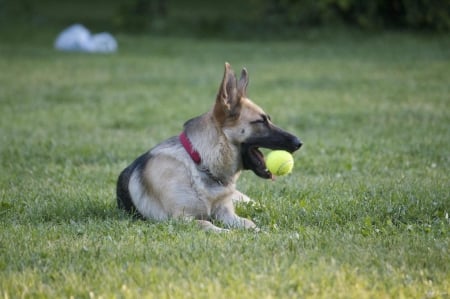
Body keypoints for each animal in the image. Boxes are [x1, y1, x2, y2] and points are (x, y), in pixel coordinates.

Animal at [116, 62, 300, 232]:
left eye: (267, 119)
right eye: (260, 121)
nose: (299, 142)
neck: (201, 163)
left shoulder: (226, 213)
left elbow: (249, 223)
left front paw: (263, 232)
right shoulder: (180, 218)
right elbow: (208, 224)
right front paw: (230, 233)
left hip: (242, 199)